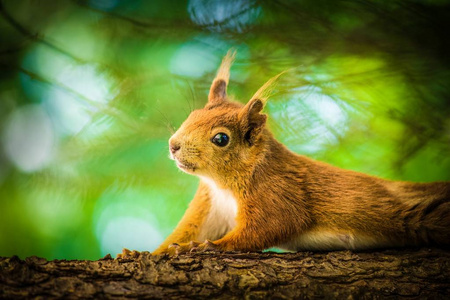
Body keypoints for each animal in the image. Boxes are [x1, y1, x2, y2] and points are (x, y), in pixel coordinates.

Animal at [118, 51, 448, 258]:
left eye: (221, 138)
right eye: (192, 115)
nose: (173, 145)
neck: (222, 184)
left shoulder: (278, 191)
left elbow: (270, 226)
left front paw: (206, 248)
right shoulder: (209, 207)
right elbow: (184, 233)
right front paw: (141, 252)